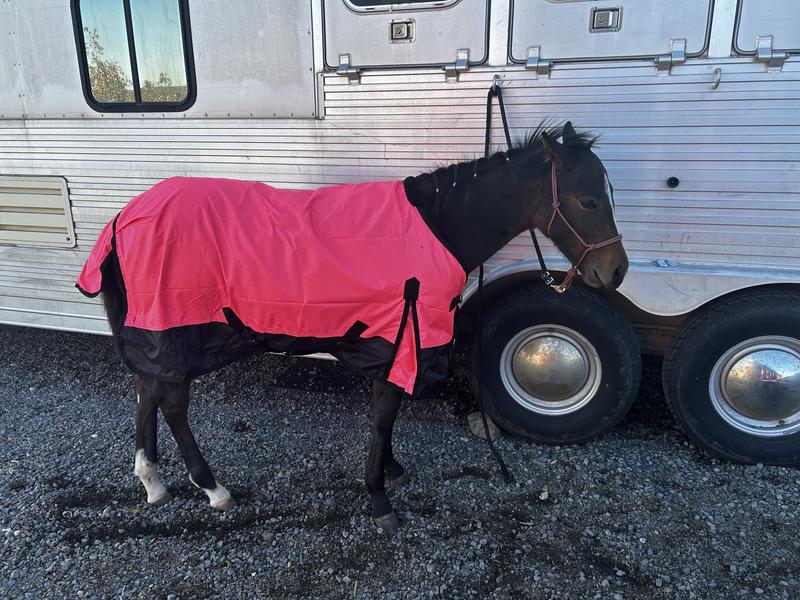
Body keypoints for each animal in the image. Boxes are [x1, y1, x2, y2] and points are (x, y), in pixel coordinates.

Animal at [75, 122, 628, 533]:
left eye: (608, 192)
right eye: (586, 200)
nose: (615, 272)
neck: (437, 227)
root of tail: (125, 215)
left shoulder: (396, 343)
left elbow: (388, 416)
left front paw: (392, 473)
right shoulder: (402, 338)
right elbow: (384, 417)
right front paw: (380, 499)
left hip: (161, 337)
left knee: (148, 393)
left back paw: (153, 482)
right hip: (177, 333)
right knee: (171, 403)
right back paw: (213, 488)